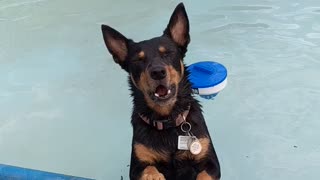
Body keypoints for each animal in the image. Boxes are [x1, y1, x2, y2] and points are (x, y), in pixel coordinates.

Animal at [101, 2, 221, 180]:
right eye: (138, 60)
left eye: (168, 53)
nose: (157, 72)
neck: (167, 121)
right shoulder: (137, 165)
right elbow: (149, 168)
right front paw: (154, 176)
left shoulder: (210, 162)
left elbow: (204, 175)